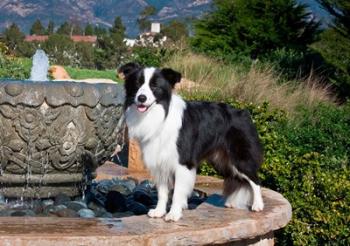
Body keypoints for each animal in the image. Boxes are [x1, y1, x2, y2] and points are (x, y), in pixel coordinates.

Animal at [119, 63, 264, 221]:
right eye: (137, 84)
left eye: (155, 86)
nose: (141, 98)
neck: (161, 114)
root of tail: (244, 113)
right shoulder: (160, 161)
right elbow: (162, 192)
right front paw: (159, 211)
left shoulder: (183, 162)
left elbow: (177, 192)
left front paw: (174, 214)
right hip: (223, 161)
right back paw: (232, 202)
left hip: (239, 158)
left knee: (255, 180)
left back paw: (258, 205)